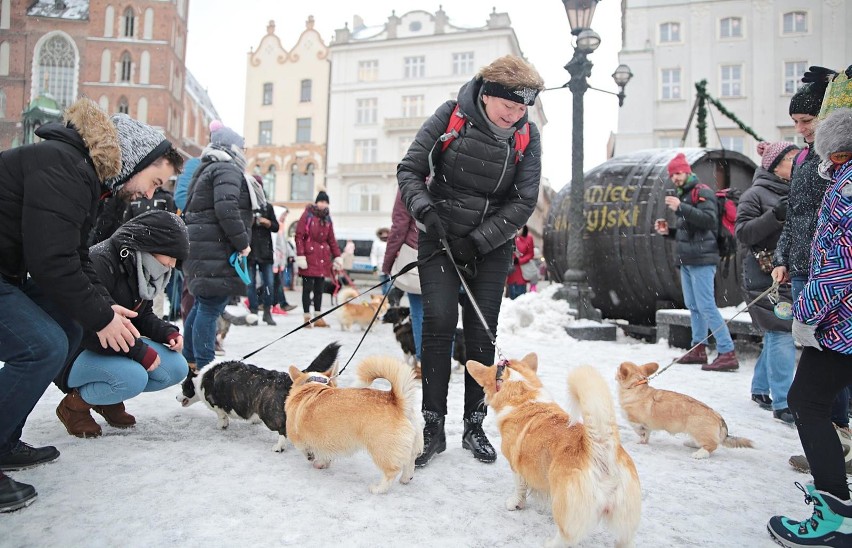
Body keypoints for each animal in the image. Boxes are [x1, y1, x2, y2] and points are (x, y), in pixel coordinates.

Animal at [286, 354, 422, 494]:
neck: (313, 385)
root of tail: (397, 402)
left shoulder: (301, 440)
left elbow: (309, 450)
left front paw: (315, 460)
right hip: (411, 443)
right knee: (410, 459)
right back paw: (406, 478)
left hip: (381, 449)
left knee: (391, 472)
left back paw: (378, 489)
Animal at [466, 354, 640, 544]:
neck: (523, 397)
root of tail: (600, 448)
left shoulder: (516, 467)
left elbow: (519, 488)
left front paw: (515, 504)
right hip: (625, 524)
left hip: (565, 509)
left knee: (566, 538)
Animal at [616, 360, 756, 458]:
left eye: (618, 370)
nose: (615, 372)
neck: (636, 387)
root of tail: (719, 418)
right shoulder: (647, 426)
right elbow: (646, 435)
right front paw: (643, 442)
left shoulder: (636, 421)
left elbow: (640, 431)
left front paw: (640, 440)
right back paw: (691, 444)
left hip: (698, 430)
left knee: (712, 445)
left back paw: (699, 454)